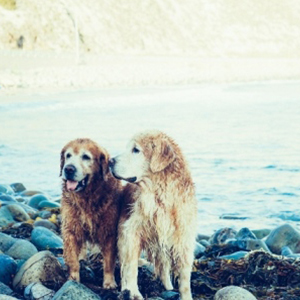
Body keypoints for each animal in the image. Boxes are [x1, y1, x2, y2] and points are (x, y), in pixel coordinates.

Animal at [60, 138, 122, 288]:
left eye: (86, 157)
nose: (68, 169)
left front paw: (109, 282)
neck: (88, 197)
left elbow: (109, 262)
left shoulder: (109, 231)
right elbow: (72, 258)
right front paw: (73, 279)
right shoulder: (70, 227)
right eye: (68, 155)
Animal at [109, 131, 198, 300]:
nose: (110, 161)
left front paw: (186, 296)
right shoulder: (131, 232)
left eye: (135, 150)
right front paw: (134, 292)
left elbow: (184, 276)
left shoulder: (183, 236)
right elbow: (131, 268)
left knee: (164, 266)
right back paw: (125, 289)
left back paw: (168, 286)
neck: (160, 194)